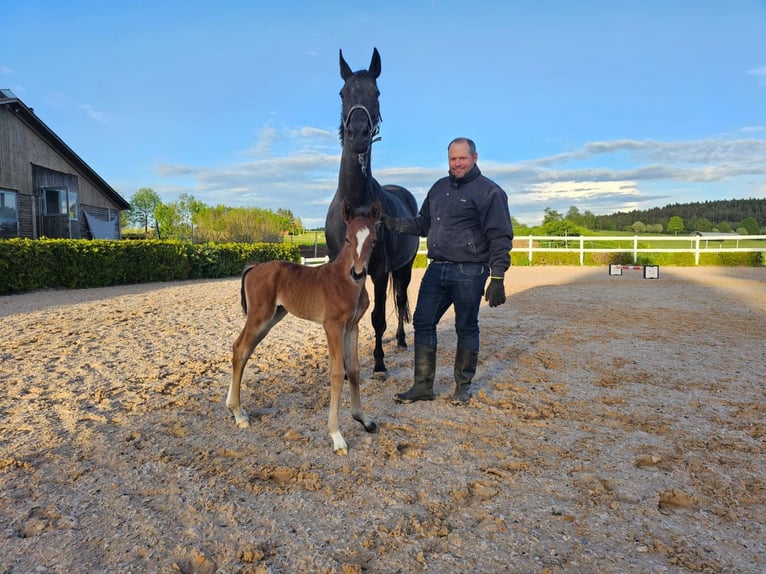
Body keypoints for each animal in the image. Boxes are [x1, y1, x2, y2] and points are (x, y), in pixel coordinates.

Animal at [230, 200, 382, 456]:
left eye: (373, 241)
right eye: (347, 239)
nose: (358, 272)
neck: (345, 282)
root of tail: (254, 267)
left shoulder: (352, 327)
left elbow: (353, 369)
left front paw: (363, 418)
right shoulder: (332, 326)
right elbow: (337, 373)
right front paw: (336, 436)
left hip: (272, 318)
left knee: (243, 350)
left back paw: (236, 409)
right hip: (260, 317)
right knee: (240, 348)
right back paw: (238, 414)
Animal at [324, 47, 420, 376]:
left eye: (375, 92)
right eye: (342, 93)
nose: (358, 135)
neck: (356, 201)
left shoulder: (378, 271)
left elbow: (378, 317)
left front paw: (378, 363)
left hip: (403, 268)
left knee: (401, 300)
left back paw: (401, 341)